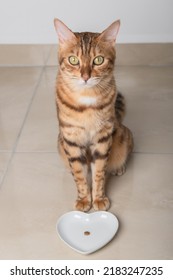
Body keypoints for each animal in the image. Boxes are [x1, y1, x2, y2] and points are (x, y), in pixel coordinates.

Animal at [54, 18, 134, 211]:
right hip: (60, 143)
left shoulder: (103, 138)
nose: (85, 77)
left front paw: (98, 198)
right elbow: (79, 174)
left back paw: (118, 168)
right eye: (73, 60)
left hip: (123, 135)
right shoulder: (71, 139)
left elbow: (99, 172)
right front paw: (84, 199)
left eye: (98, 60)